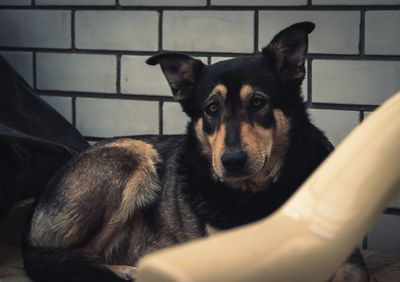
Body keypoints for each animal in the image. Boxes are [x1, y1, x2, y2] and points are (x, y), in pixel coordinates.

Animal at [23, 22, 368, 282]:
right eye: (211, 109)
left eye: (258, 102)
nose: (231, 161)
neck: (253, 194)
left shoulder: (346, 258)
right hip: (134, 154)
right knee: (72, 256)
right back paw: (125, 271)